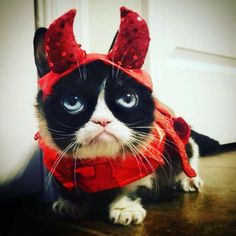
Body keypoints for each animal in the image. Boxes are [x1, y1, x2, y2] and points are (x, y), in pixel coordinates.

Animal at [33, 7, 203, 225]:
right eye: (72, 101)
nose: (102, 120)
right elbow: (66, 181)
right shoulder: (57, 160)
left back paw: (189, 179)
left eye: (128, 98)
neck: (99, 161)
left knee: (190, 151)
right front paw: (70, 203)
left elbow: (134, 181)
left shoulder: (146, 154)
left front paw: (124, 208)